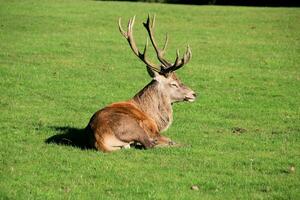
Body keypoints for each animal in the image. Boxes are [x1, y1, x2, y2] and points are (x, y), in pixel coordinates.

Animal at [85, 15, 197, 153]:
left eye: (179, 79)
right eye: (173, 84)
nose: (194, 94)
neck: (153, 116)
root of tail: (100, 140)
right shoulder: (152, 128)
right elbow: (167, 139)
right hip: (134, 127)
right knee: (149, 144)